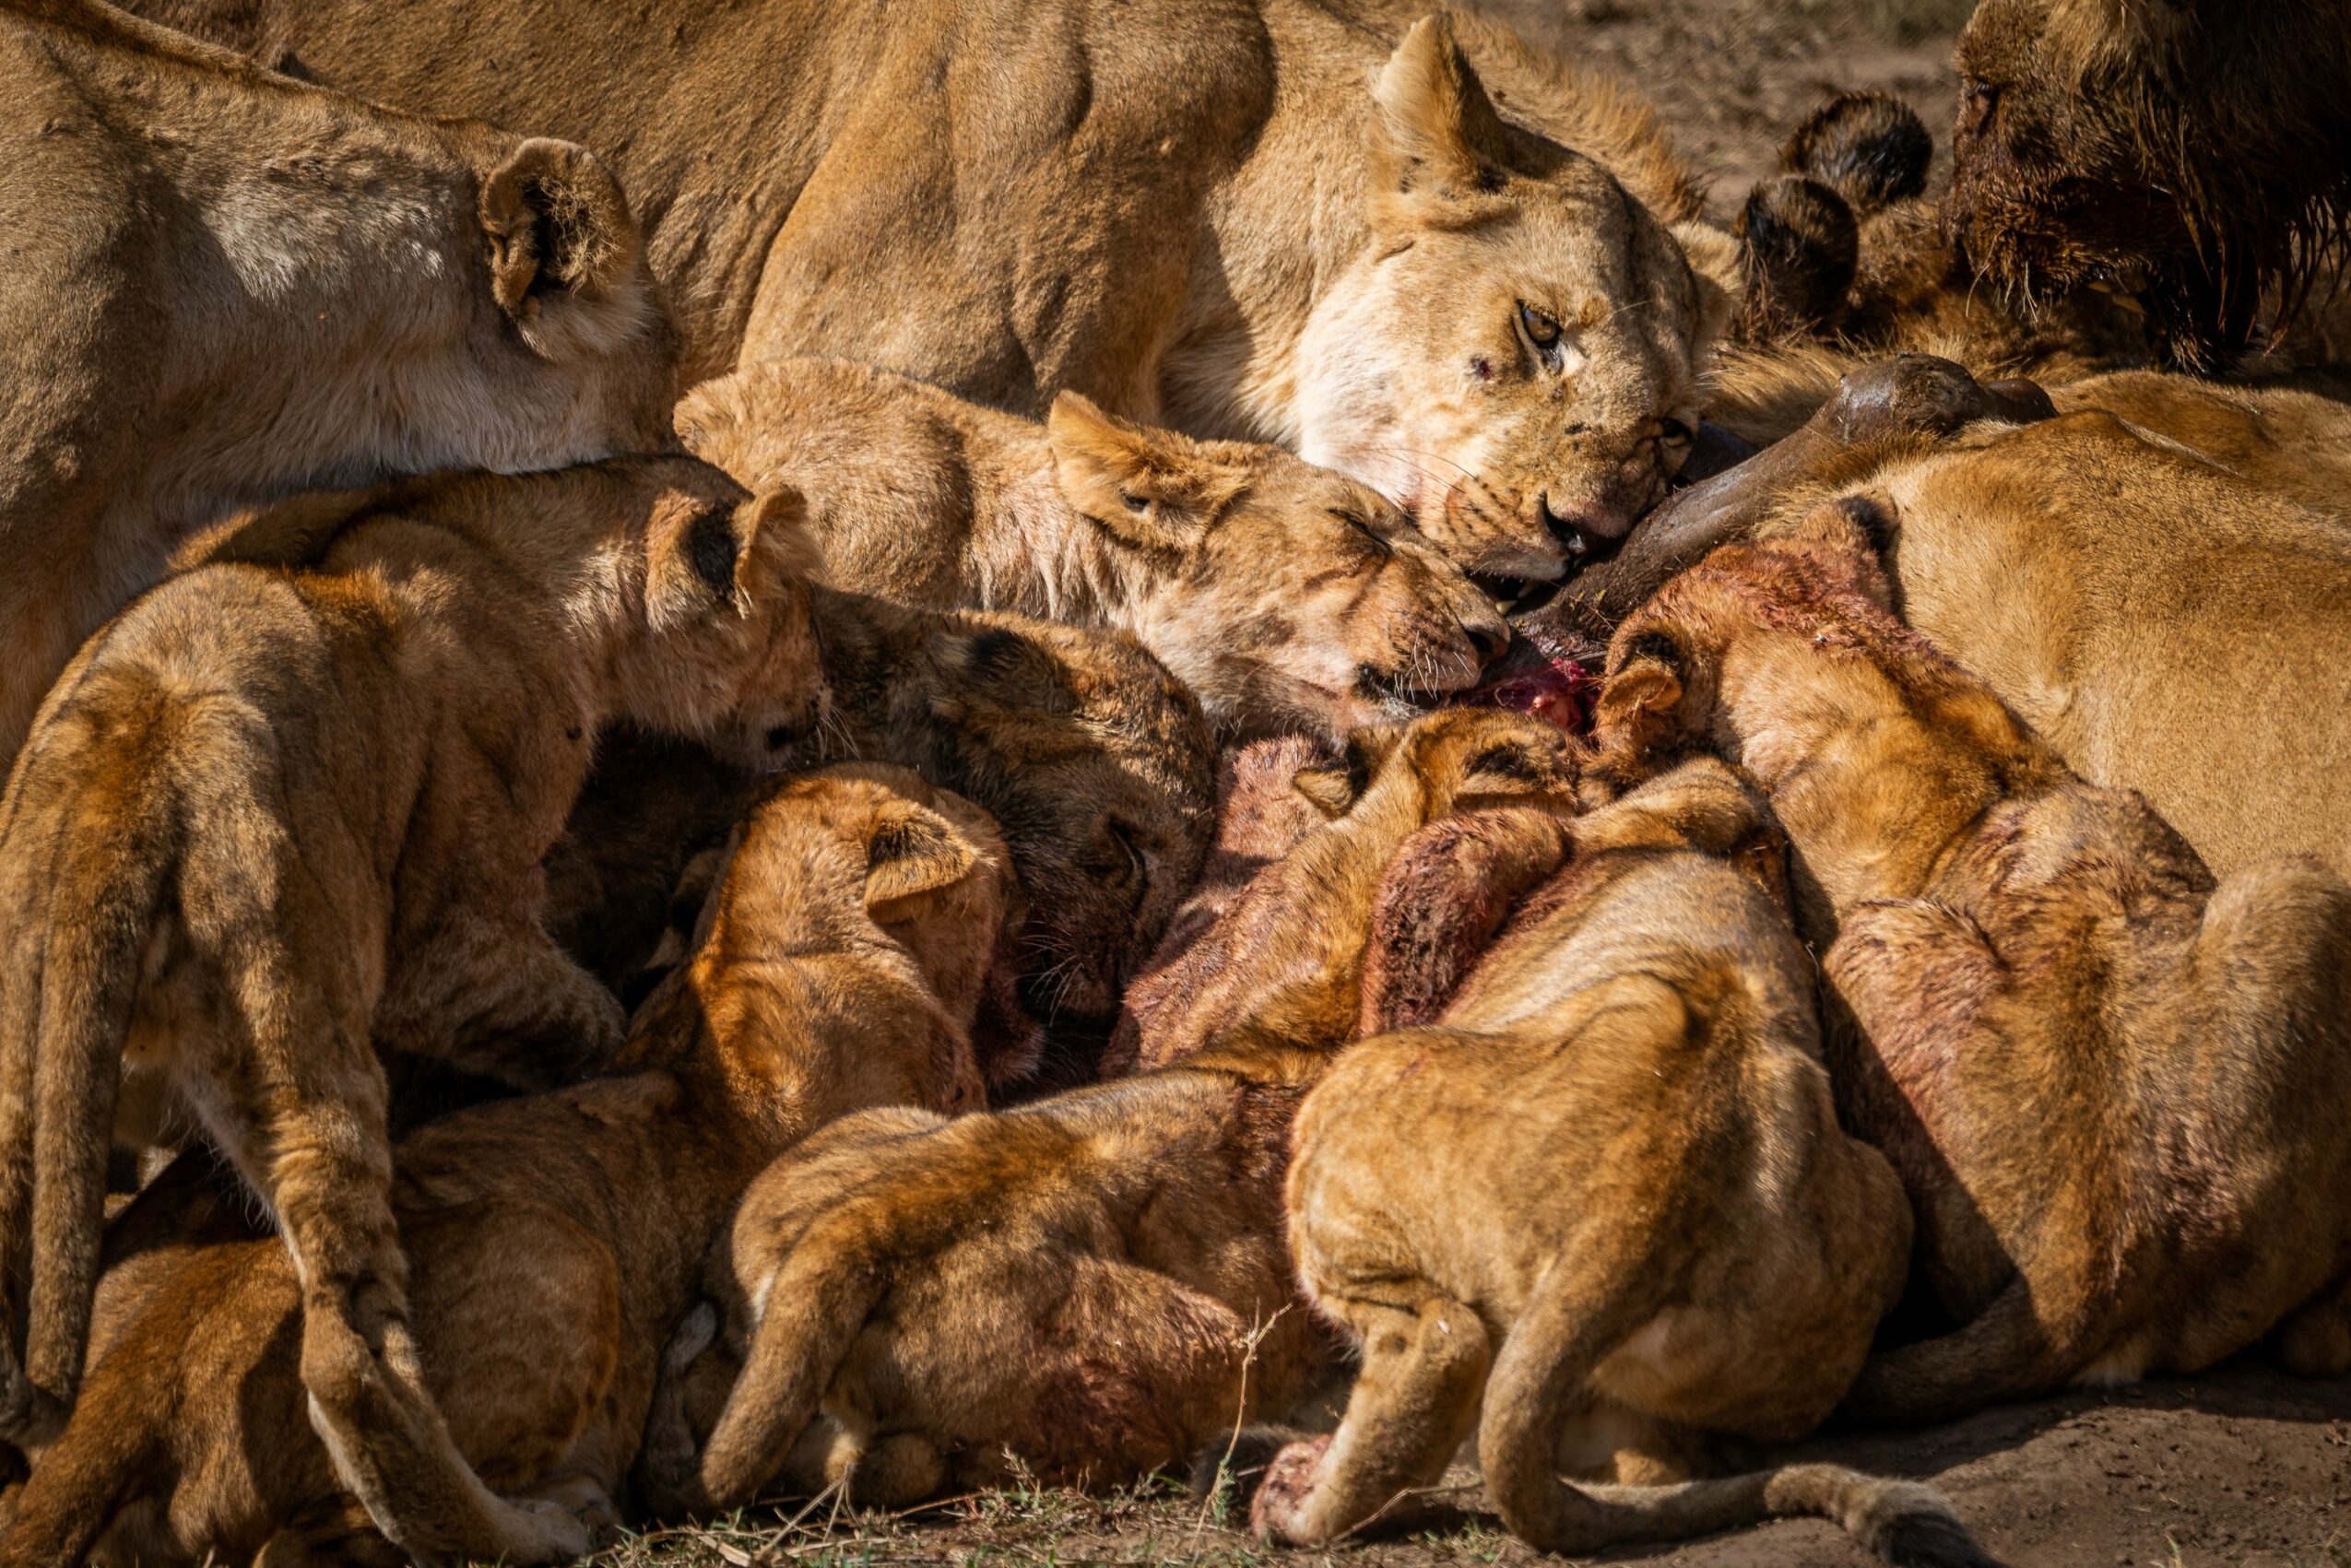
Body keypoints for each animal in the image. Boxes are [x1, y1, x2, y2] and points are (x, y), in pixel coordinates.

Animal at [0, 456, 825, 1564]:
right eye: (801, 609)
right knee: (348, 1366)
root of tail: (122, 777)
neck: (517, 552)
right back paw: (536, 1526)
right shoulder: (452, 941)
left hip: (32, 1062)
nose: (824, 696)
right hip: (302, 1018)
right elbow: (585, 1023)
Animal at [0, 765, 1010, 1568]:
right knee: (305, 1538)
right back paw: (567, 1517)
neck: (751, 944)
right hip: (556, 1249)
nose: (999, 815)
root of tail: (142, 1376)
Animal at [1250, 757, 1972, 1564]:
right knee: (1657, 1468)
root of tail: (1647, 1202)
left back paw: (1293, 1499)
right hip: (1877, 1208)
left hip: (1358, 1091)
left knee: (1437, 1343)